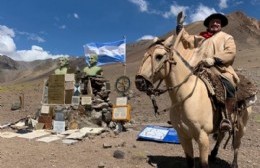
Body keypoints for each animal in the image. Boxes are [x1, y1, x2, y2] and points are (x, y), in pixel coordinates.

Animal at [135, 35, 253, 167]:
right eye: (144, 56)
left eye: (159, 56)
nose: (139, 82)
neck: (184, 98)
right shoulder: (183, 136)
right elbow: (190, 162)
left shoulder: (203, 137)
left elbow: (203, 164)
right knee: (222, 134)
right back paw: (213, 154)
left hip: (242, 124)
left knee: (237, 143)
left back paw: (234, 163)